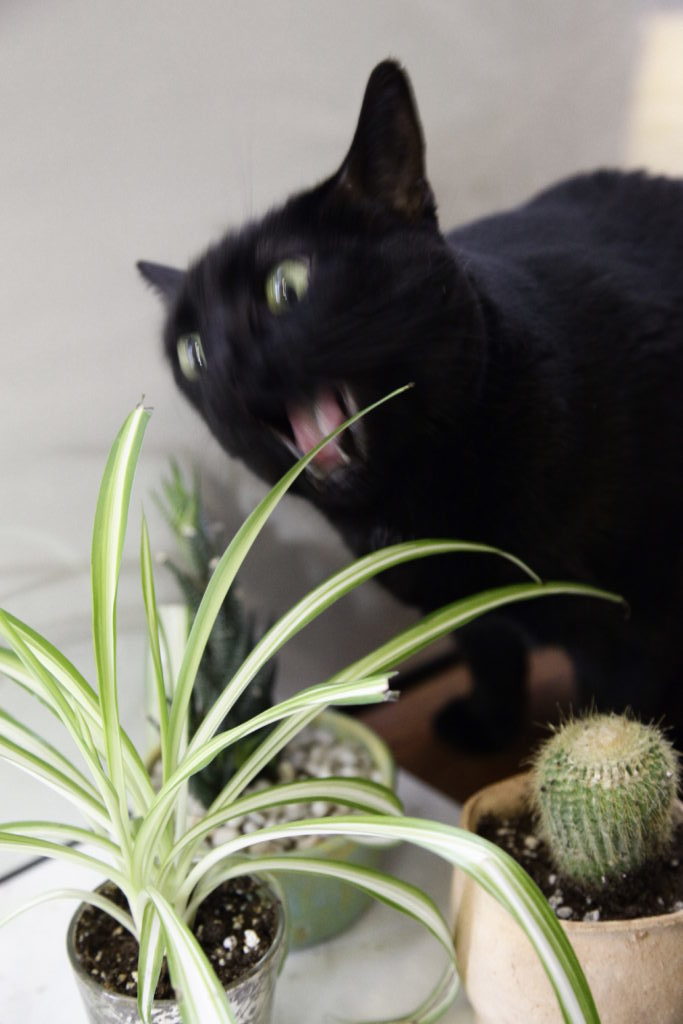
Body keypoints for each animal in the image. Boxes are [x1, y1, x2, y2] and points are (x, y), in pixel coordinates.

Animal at [139, 64, 683, 753]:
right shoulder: (464, 613)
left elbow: (616, 714)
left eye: (287, 285)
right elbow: (491, 655)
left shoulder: (628, 630)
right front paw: (485, 725)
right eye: (191, 352)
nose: (224, 365)